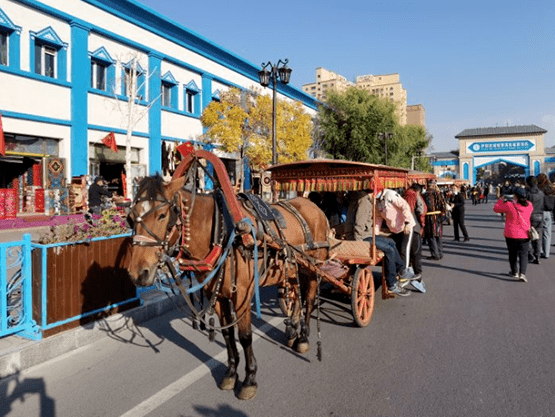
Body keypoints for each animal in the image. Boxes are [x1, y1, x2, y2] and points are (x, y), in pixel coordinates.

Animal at [126, 173, 330, 400]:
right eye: (130, 218)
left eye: (162, 215)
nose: (138, 273)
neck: (222, 234)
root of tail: (312, 204)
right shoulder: (217, 296)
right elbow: (227, 334)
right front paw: (231, 373)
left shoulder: (242, 295)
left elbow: (245, 336)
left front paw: (249, 379)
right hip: (293, 270)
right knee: (297, 298)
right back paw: (293, 330)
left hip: (313, 269)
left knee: (309, 301)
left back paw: (303, 338)